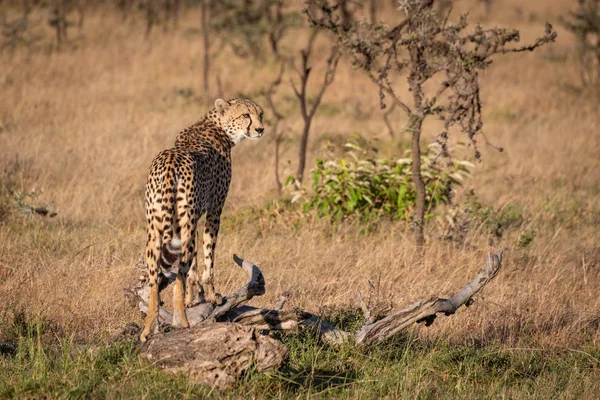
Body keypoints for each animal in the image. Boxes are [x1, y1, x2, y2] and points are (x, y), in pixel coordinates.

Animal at [141, 98, 264, 342]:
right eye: (246, 115)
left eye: (260, 114)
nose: (260, 129)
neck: (218, 126)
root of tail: (169, 161)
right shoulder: (214, 210)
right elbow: (208, 256)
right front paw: (211, 296)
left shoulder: (195, 217)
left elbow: (195, 265)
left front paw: (194, 298)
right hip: (183, 224)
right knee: (178, 276)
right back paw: (182, 321)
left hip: (157, 227)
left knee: (154, 279)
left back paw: (150, 327)